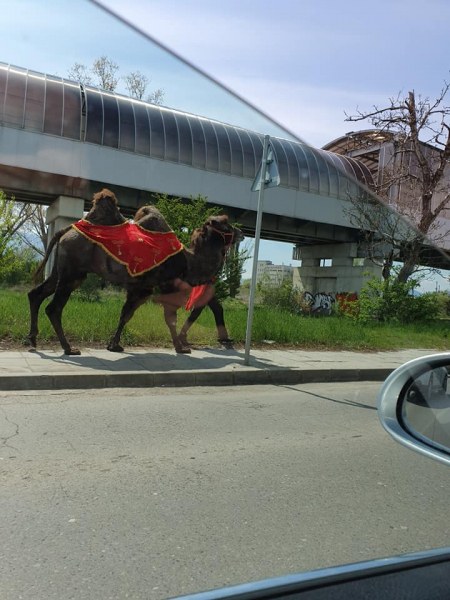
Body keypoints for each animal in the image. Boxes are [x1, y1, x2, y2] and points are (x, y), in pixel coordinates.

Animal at [27, 190, 243, 354]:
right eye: (225, 223)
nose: (240, 232)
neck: (189, 262)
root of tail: (64, 231)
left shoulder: (140, 287)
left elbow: (126, 314)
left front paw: (114, 345)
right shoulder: (163, 284)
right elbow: (170, 318)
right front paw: (181, 348)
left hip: (63, 270)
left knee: (36, 294)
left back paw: (33, 339)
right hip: (72, 272)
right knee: (53, 308)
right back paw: (68, 348)